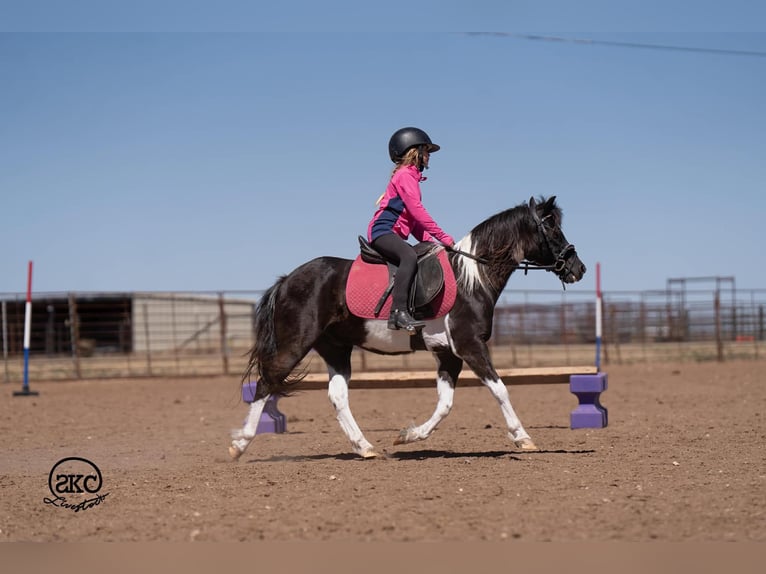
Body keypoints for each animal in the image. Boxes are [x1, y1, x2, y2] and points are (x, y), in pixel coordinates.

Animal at [229, 195, 586, 460]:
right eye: (552, 228)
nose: (578, 268)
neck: (471, 277)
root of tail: (287, 280)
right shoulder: (470, 345)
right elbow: (499, 389)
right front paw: (523, 437)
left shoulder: (448, 354)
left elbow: (445, 404)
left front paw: (408, 436)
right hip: (295, 343)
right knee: (267, 382)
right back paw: (239, 444)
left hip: (336, 348)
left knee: (337, 396)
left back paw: (365, 447)